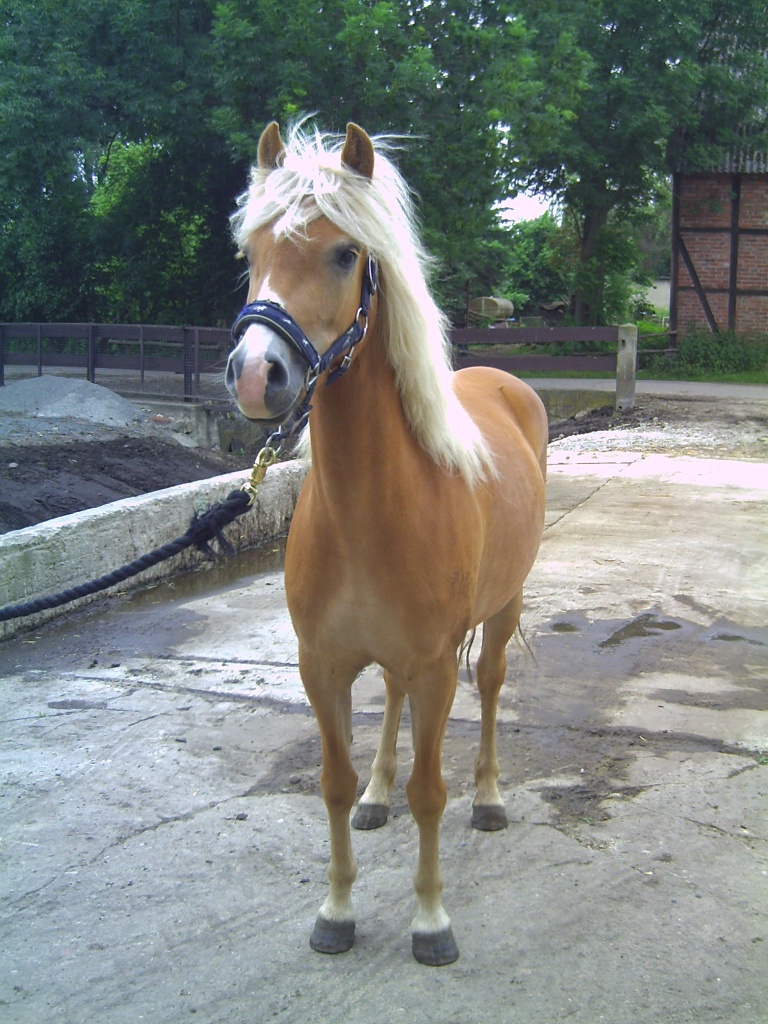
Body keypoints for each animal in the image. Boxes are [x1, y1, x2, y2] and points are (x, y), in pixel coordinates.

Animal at [225, 121, 547, 966]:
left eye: (344, 253)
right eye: (251, 249)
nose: (255, 375)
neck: (371, 510)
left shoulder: (436, 666)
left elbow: (430, 792)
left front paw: (431, 921)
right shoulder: (323, 665)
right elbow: (332, 785)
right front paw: (337, 909)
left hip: (502, 611)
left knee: (491, 687)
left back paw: (490, 798)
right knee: (392, 701)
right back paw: (378, 792)